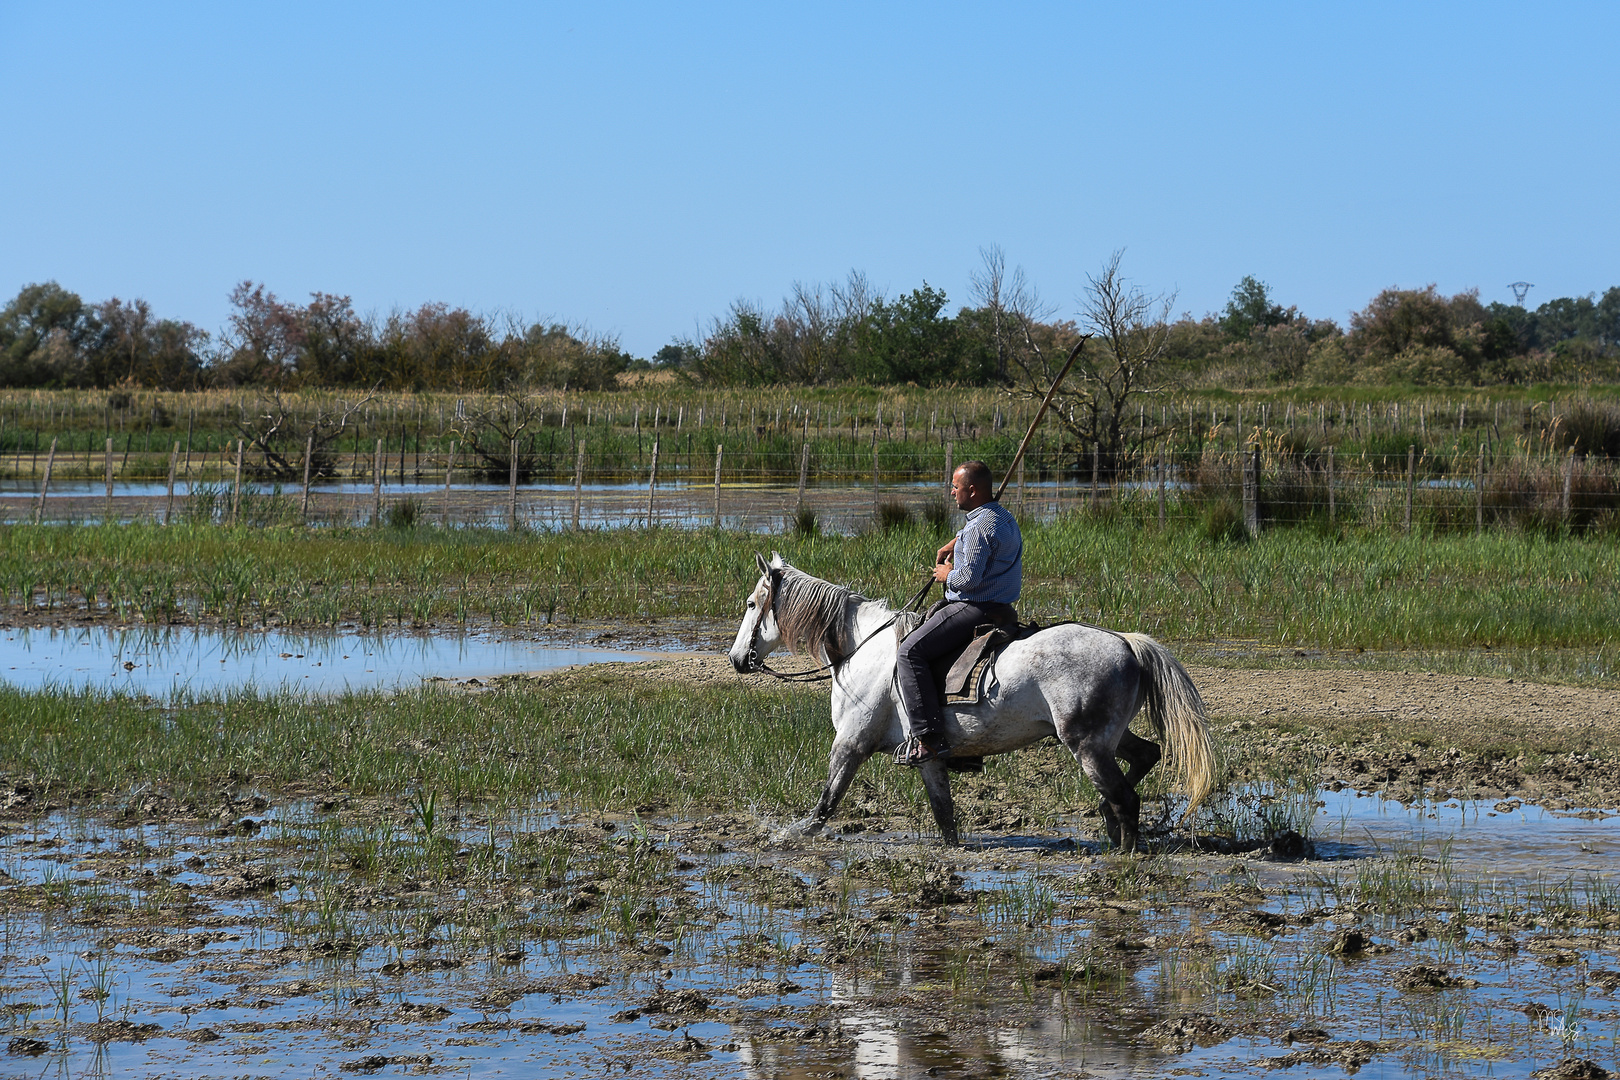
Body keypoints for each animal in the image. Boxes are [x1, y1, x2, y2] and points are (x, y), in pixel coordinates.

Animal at [732, 557, 1218, 854]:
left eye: (753, 603)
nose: (737, 659)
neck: (863, 648)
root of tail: (1125, 642)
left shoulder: (850, 743)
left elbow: (827, 802)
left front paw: (791, 835)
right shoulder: (926, 753)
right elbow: (944, 812)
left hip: (1087, 744)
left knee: (1125, 796)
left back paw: (1124, 853)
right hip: (1109, 738)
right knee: (1145, 757)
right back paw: (1110, 827)